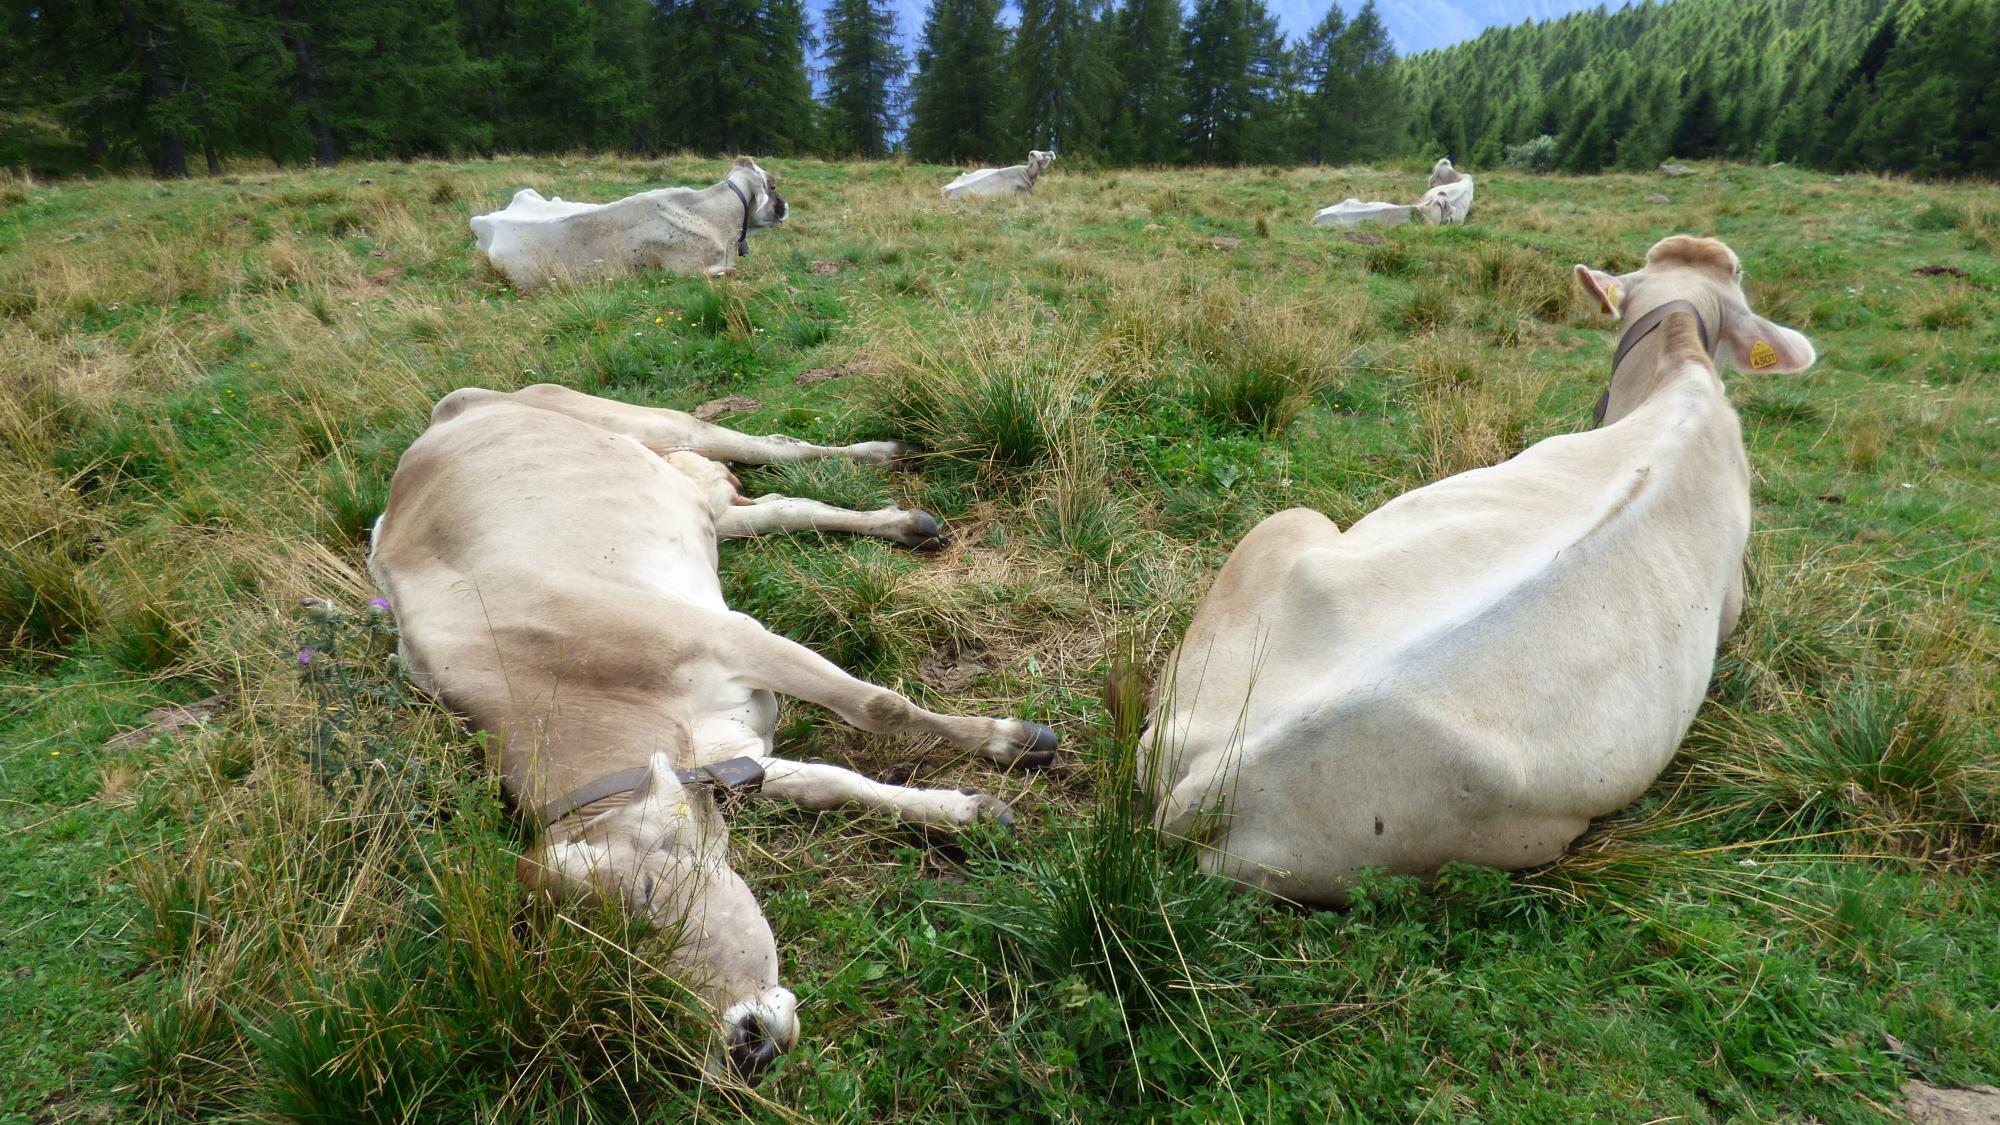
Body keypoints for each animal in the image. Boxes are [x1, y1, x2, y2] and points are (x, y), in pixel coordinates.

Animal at [367, 383, 1059, 1082]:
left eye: (647, 894)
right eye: (605, 974)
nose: (744, 1045)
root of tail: (446, 411)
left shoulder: (732, 637)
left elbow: (880, 707)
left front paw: (1009, 739)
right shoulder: (730, 756)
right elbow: (834, 786)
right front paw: (965, 813)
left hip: (644, 421)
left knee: (773, 448)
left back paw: (887, 460)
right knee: (765, 510)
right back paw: (900, 522)